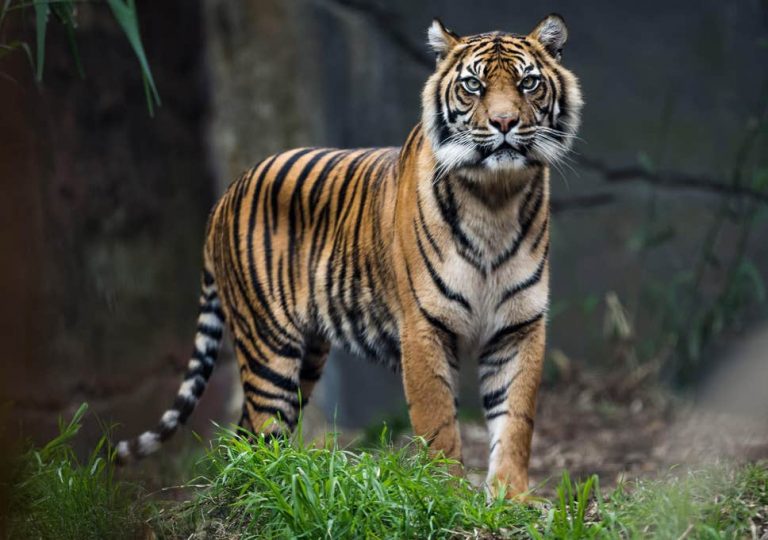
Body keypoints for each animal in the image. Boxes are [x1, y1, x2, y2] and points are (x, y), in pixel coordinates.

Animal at [116, 13, 582, 498]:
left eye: (528, 83)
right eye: (473, 85)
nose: (504, 122)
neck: (495, 198)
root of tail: (225, 195)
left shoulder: (519, 326)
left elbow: (516, 420)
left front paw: (512, 498)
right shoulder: (423, 327)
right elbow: (439, 425)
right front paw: (446, 495)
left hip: (307, 354)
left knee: (246, 432)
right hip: (268, 346)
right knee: (261, 426)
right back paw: (270, 489)